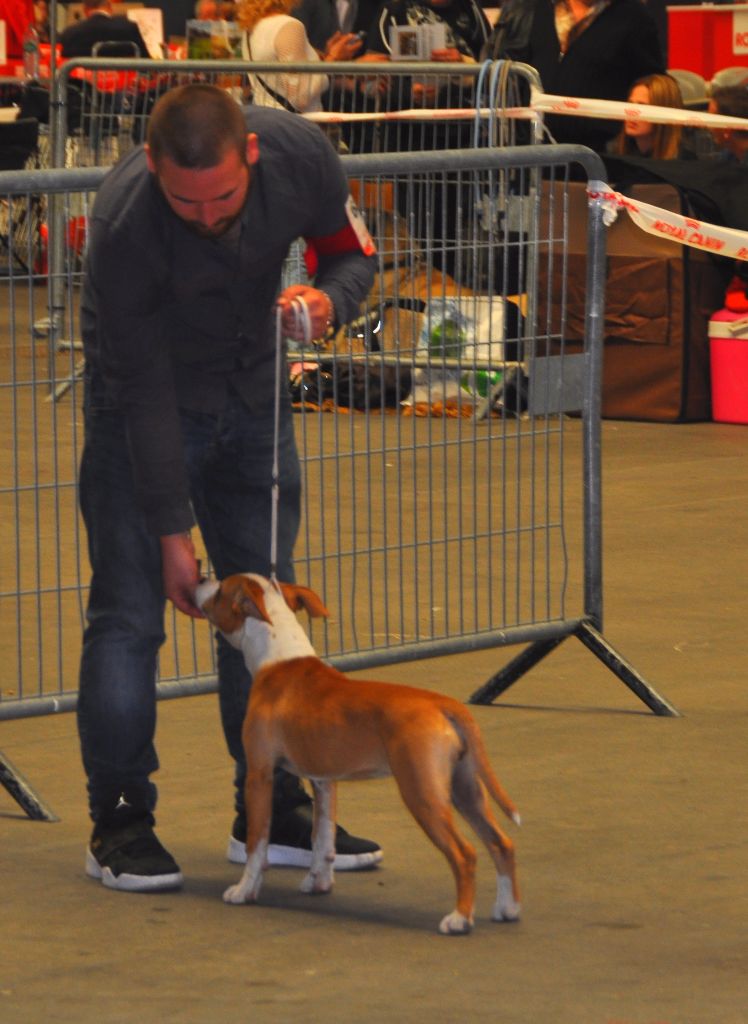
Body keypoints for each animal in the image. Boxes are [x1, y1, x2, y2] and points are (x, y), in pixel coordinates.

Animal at [192, 573, 518, 933]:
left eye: (220, 591)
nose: (201, 576)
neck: (277, 655)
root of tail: (445, 706)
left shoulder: (260, 774)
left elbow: (256, 843)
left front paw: (244, 890)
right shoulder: (324, 781)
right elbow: (322, 839)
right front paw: (318, 882)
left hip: (423, 794)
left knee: (465, 853)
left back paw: (459, 918)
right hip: (466, 790)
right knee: (501, 843)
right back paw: (507, 908)